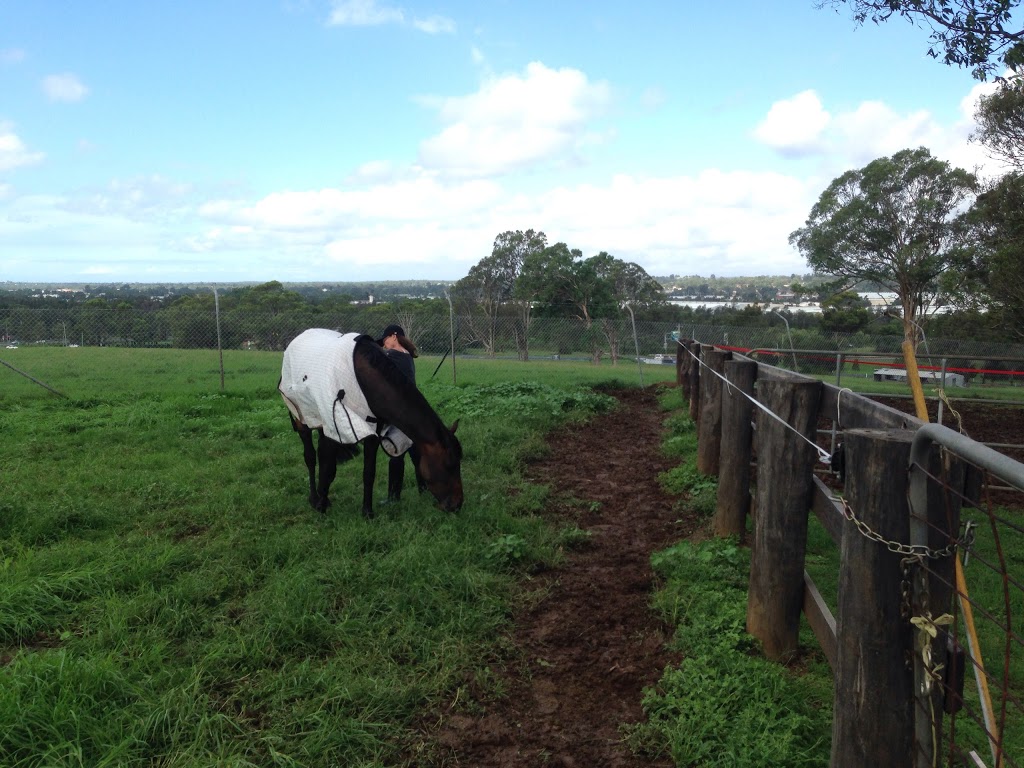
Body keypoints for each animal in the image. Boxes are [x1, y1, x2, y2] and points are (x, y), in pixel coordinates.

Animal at [276, 327, 460, 520]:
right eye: (450, 464)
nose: (457, 505)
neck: (363, 379)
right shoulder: (336, 428)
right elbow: (329, 469)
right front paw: (321, 506)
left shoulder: (371, 432)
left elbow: (368, 472)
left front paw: (367, 512)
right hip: (301, 419)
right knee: (310, 458)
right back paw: (314, 497)